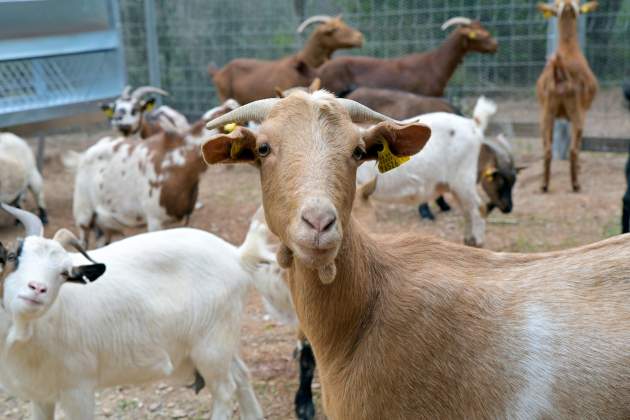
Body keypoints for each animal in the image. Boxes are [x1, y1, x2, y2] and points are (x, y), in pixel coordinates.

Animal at [358, 95, 496, 246]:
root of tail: (473, 124)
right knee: (467, 210)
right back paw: (468, 240)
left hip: (463, 178)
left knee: (478, 208)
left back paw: (476, 241)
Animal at [540, 0, 604, 192]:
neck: (568, 48)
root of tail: (560, 75)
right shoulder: (582, 111)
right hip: (577, 112)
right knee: (574, 150)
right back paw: (576, 184)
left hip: (547, 112)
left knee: (547, 149)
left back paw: (544, 185)